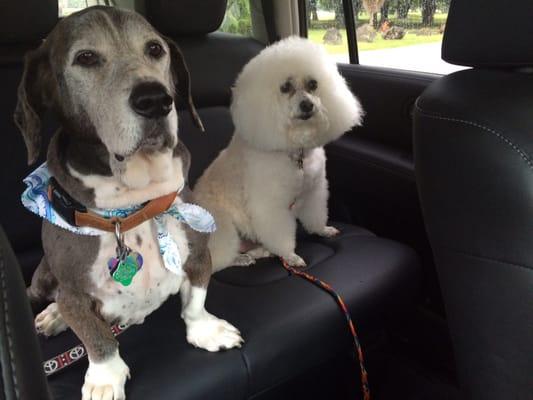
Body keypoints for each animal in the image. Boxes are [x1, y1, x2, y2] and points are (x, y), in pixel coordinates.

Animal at [14, 6, 243, 400]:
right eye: (85, 57)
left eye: (154, 49)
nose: (155, 100)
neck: (133, 208)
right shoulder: (75, 293)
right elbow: (96, 337)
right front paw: (105, 378)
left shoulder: (197, 254)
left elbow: (195, 300)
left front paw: (205, 330)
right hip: (44, 277)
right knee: (46, 296)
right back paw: (53, 315)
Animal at [192, 36, 362, 272]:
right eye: (285, 87)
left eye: (313, 84)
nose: (307, 105)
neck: (294, 152)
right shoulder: (270, 204)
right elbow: (279, 234)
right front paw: (290, 256)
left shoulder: (313, 189)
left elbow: (315, 215)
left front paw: (322, 229)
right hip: (222, 227)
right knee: (217, 261)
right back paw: (241, 259)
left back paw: (260, 252)